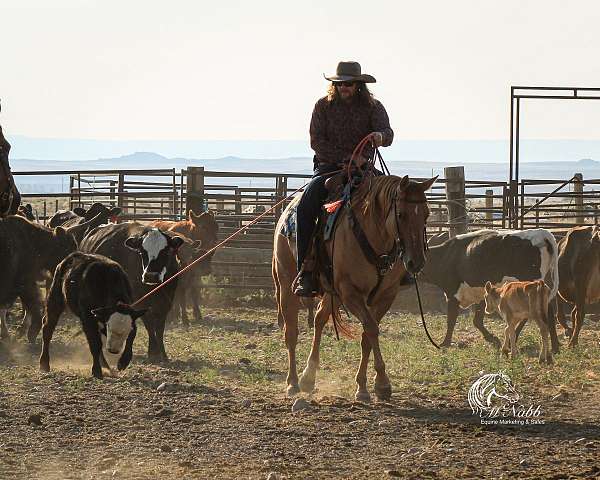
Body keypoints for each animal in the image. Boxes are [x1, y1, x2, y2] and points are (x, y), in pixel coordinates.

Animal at [79, 221, 185, 360]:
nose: (151, 276)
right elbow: (149, 323)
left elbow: (160, 326)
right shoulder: (140, 300)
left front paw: (163, 353)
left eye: (166, 251)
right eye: (142, 252)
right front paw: (153, 351)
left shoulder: (167, 300)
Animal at [276, 174, 436, 400]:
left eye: (426, 214)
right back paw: (292, 383)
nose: (417, 262)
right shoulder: (351, 293)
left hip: (331, 292)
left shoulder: (386, 295)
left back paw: (308, 376)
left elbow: (367, 335)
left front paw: (363, 386)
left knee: (319, 318)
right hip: (285, 283)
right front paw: (382, 383)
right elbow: (371, 328)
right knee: (291, 332)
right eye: (401, 214)